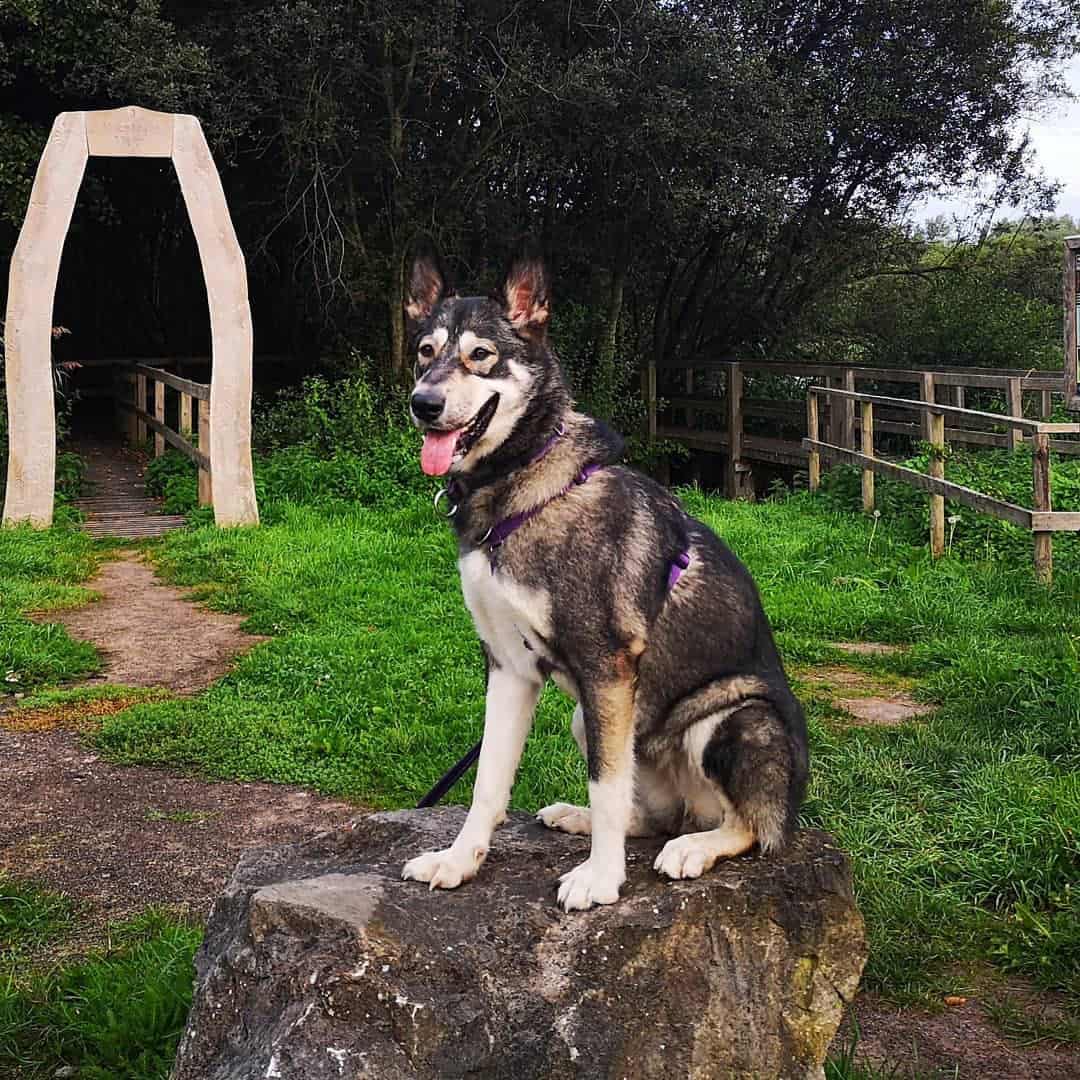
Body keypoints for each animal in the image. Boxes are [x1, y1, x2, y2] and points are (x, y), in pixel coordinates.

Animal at [401, 250, 807, 911]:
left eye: (480, 354)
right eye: (424, 350)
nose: (423, 403)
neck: (520, 483)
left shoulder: (606, 667)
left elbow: (607, 783)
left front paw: (600, 877)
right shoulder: (508, 667)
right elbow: (489, 781)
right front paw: (461, 859)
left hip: (734, 717)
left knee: (751, 827)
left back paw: (695, 848)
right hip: (587, 718)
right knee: (657, 816)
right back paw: (580, 818)